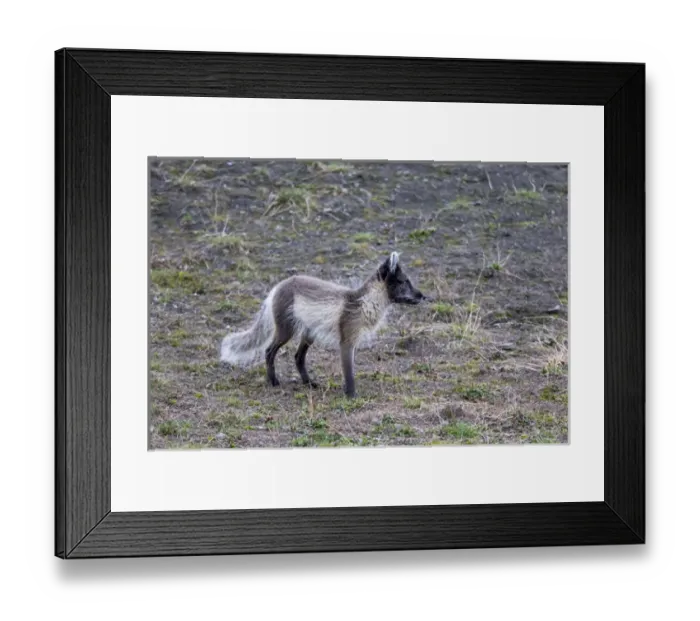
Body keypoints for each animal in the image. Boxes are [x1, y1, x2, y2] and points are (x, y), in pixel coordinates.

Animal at [220, 251, 427, 398]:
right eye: (404, 282)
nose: (423, 296)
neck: (364, 303)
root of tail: (277, 287)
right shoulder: (347, 341)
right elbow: (349, 373)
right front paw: (352, 396)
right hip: (286, 331)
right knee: (269, 351)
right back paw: (273, 381)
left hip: (309, 335)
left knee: (298, 357)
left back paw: (309, 383)